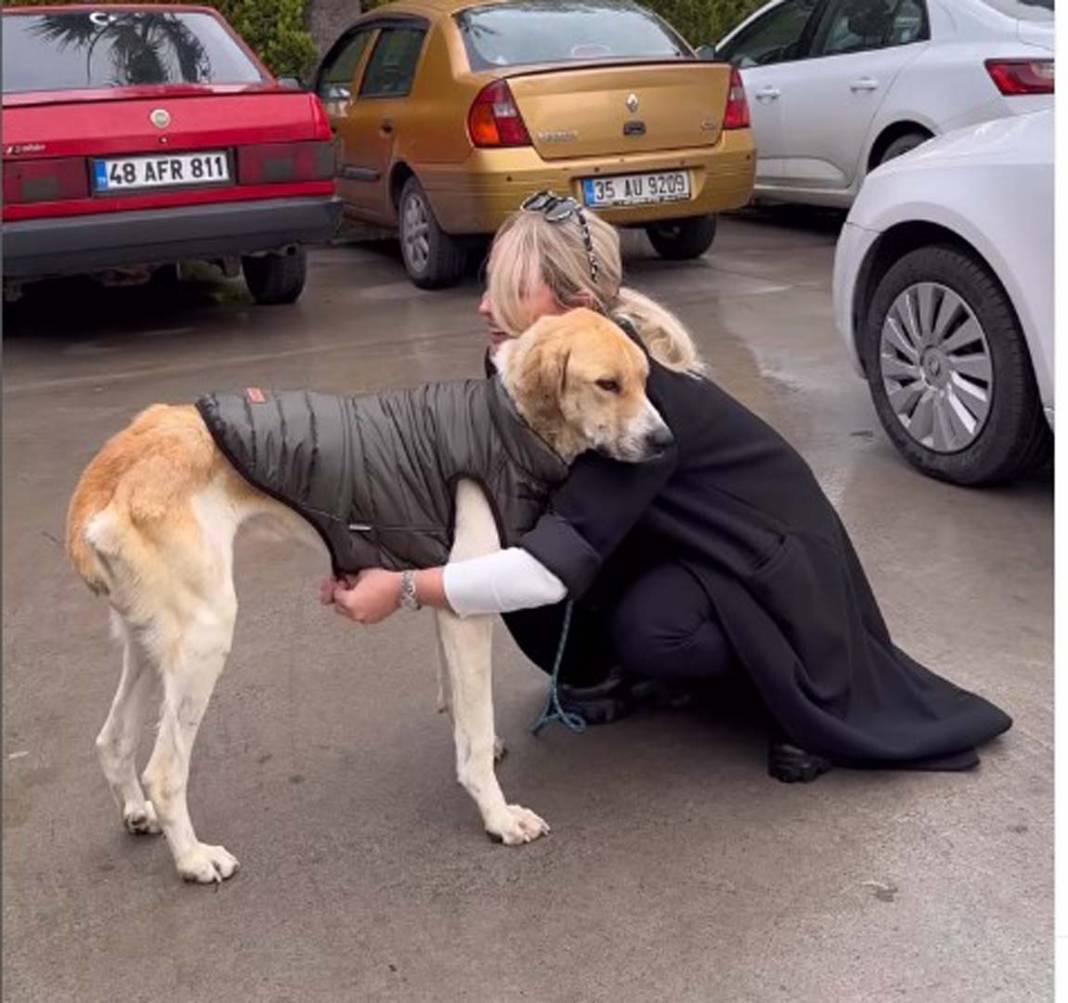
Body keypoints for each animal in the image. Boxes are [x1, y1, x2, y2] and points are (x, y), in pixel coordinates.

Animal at [66, 309, 670, 884]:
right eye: (608, 384)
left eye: (646, 380)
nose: (665, 442)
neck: (507, 422)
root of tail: (113, 465)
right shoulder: (466, 613)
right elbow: (474, 733)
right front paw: (497, 816)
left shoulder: (445, 594)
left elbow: (461, 708)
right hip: (203, 638)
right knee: (165, 772)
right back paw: (193, 858)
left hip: (151, 643)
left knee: (111, 740)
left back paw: (137, 812)